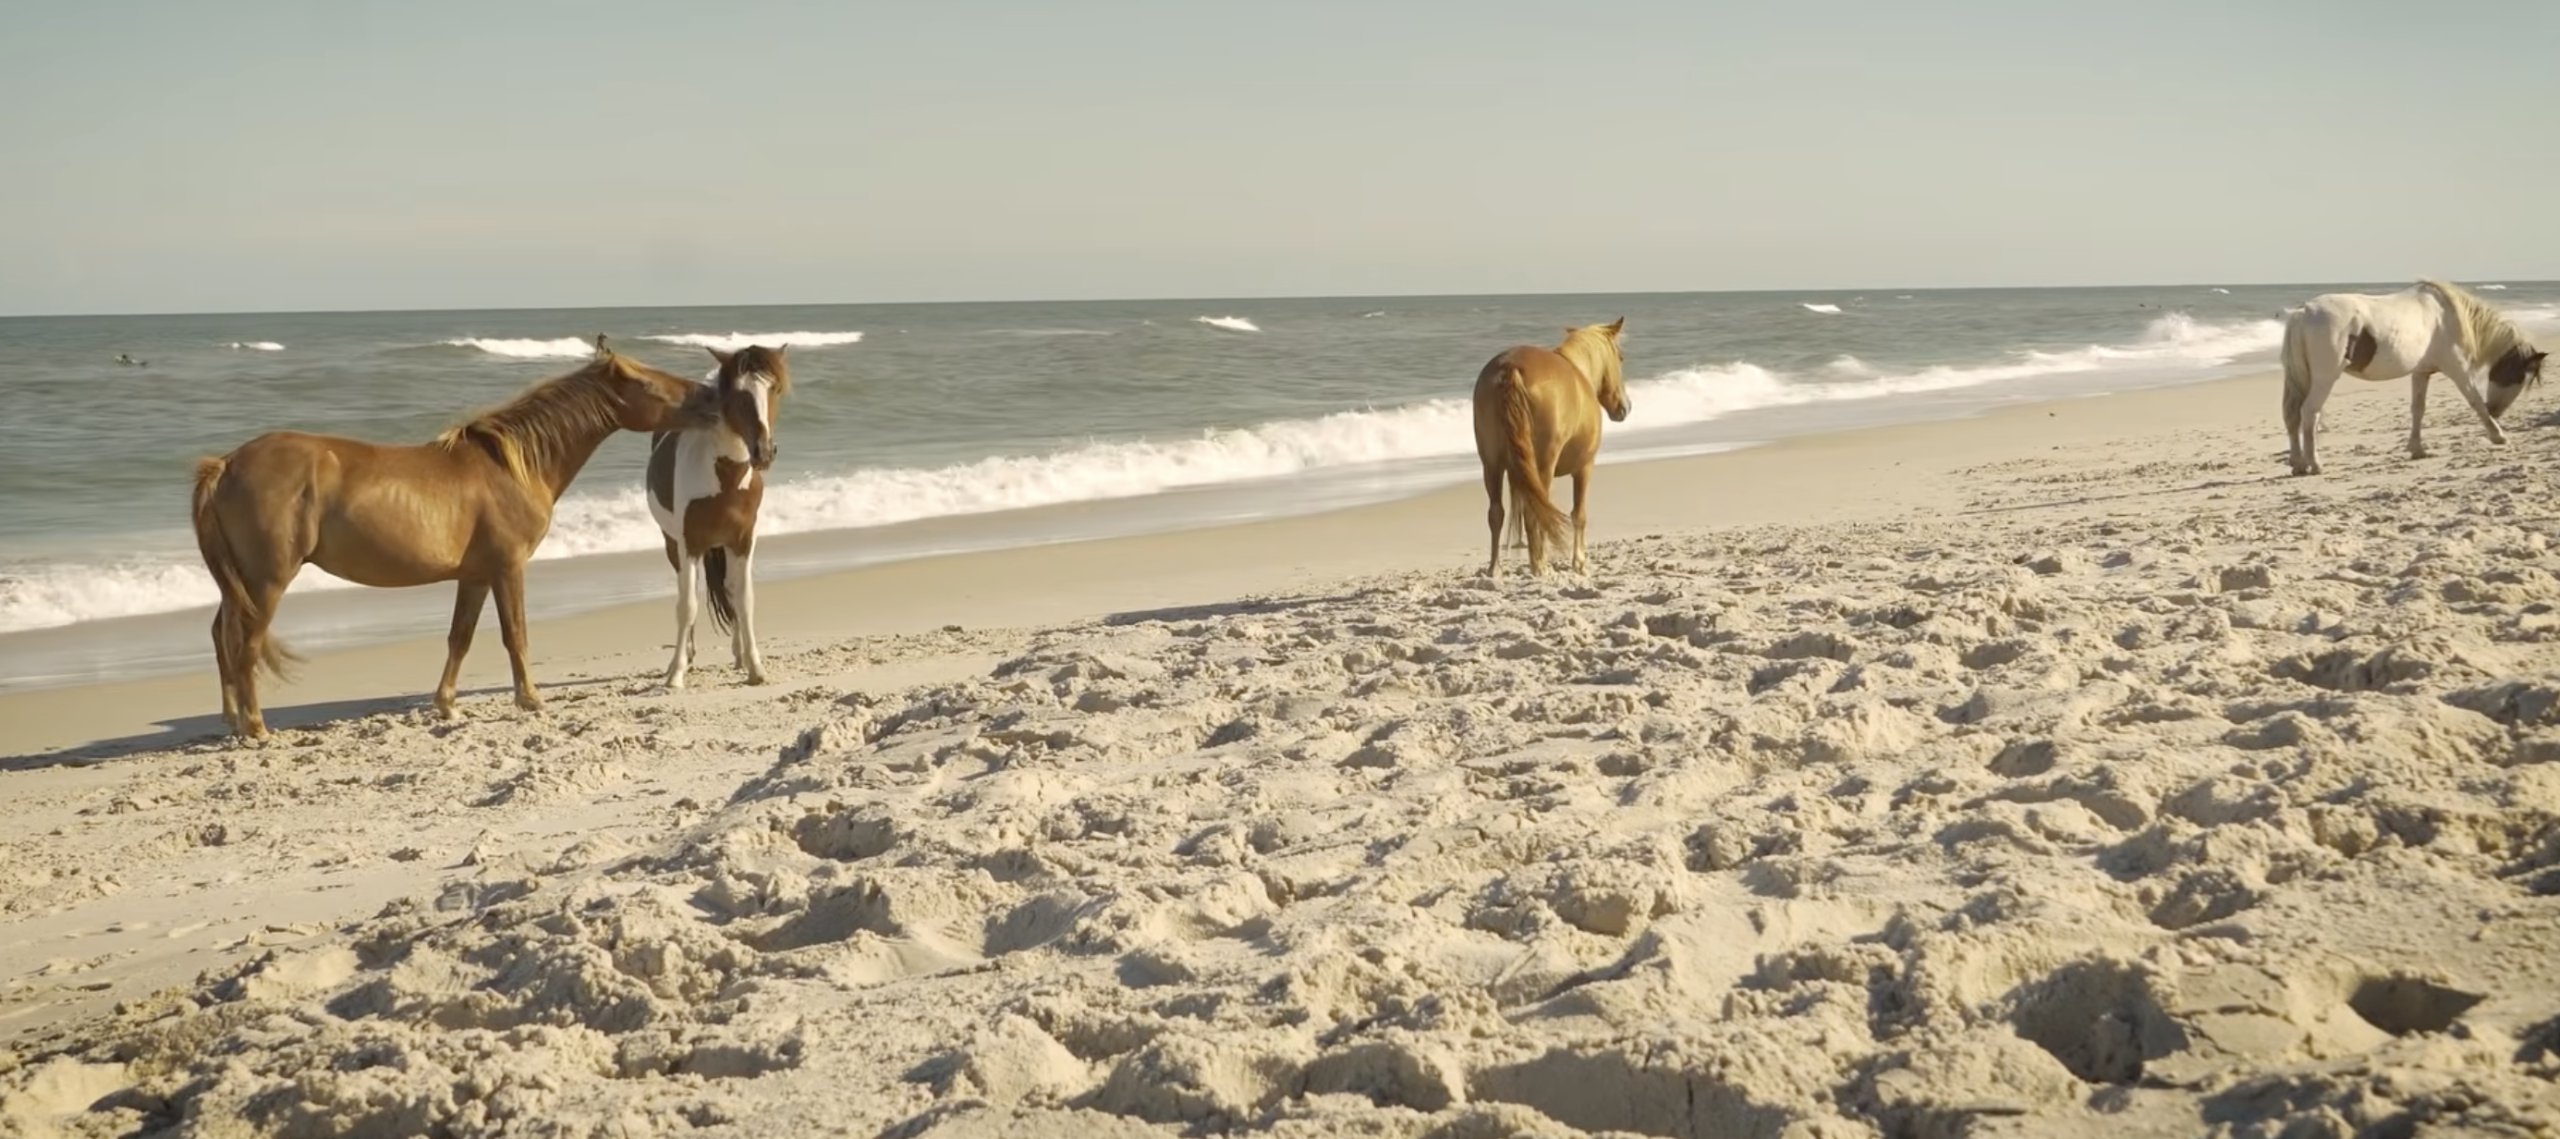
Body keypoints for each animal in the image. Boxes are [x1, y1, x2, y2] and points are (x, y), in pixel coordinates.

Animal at [190, 337, 717, 737]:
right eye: (647, 382)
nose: (710, 401)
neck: (512, 466)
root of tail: (227, 464)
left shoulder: (476, 576)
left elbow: (459, 638)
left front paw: (447, 704)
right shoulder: (507, 568)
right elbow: (515, 634)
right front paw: (531, 699)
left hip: (240, 582)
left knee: (221, 635)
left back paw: (232, 720)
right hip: (266, 580)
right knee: (245, 644)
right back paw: (255, 727)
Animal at [646, 344, 789, 689]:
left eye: (774, 389)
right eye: (737, 394)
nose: (763, 452)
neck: (724, 478)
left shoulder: (743, 541)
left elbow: (743, 598)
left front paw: (754, 667)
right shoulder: (690, 544)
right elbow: (687, 606)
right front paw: (676, 673)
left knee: (728, 590)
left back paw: (738, 655)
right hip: (674, 545)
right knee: (687, 594)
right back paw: (686, 658)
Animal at [1471, 318, 1631, 579]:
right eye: (1621, 358)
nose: (1624, 408)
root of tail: (1510, 367)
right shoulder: (1584, 467)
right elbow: (1579, 514)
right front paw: (1580, 562)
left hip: (1491, 465)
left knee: (1496, 513)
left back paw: (1495, 569)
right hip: (1542, 467)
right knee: (1536, 511)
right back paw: (1540, 565)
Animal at [2281, 279, 2546, 475]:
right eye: (2519, 375)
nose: (2496, 410)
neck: (2447, 314)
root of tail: (2303, 312)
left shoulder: (2421, 373)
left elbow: (2418, 409)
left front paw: (2417, 449)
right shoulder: (2457, 369)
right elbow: (2475, 401)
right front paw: (2498, 435)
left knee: (2292, 416)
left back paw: (2298, 465)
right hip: (2324, 379)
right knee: (2309, 413)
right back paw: (2314, 464)